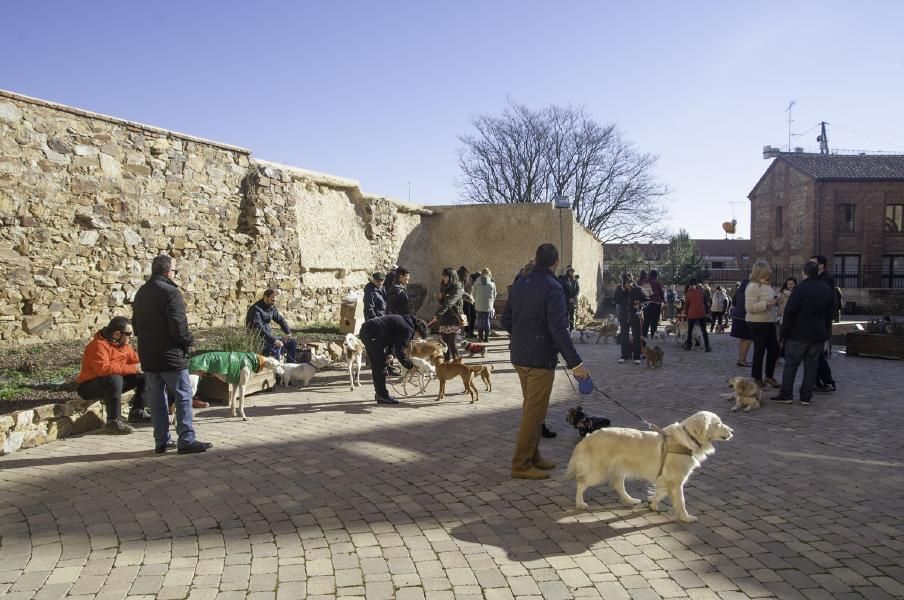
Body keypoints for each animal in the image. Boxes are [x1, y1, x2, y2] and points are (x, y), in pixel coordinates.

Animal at [564, 410, 736, 524]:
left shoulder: (665, 480)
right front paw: (686, 517)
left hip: (618, 469)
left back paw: (630, 500)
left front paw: (652, 503)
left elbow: (660, 493)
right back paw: (580, 503)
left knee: (618, 485)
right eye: (718, 423)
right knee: (581, 484)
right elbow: (681, 501)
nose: (732, 431)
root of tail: (587, 437)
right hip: (597, 472)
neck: (688, 439)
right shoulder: (676, 480)